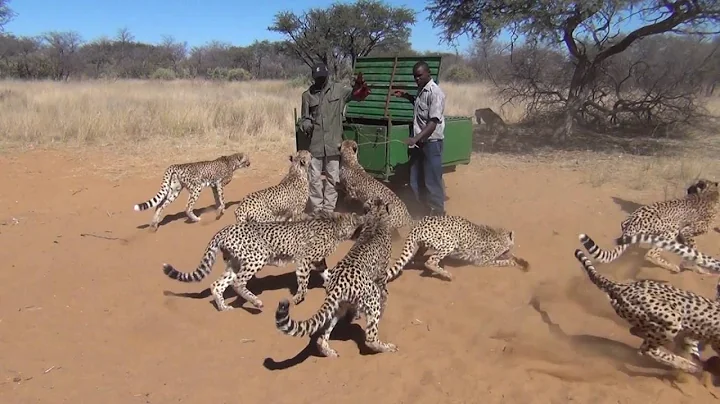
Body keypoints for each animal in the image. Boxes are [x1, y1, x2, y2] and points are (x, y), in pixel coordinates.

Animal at [161, 210, 366, 311]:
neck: (336, 226)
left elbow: (327, 273)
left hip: (235, 263)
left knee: (217, 284)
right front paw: (297, 298)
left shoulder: (317, 260)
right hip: (256, 258)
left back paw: (224, 307)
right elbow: (303, 282)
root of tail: (225, 229)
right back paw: (256, 302)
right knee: (238, 282)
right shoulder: (304, 260)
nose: (364, 219)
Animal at [275, 196, 397, 358]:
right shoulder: (381, 279)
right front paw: (383, 309)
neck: (376, 217)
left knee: (322, 336)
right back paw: (386, 347)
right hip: (371, 297)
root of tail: (338, 280)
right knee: (370, 338)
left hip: (338, 306)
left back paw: (329, 351)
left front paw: (355, 315)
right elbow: (385, 295)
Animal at [384, 214, 529, 282]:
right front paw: (514, 262)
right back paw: (447, 275)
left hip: (423, 245)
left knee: (417, 257)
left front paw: (522, 261)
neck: (498, 235)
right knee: (430, 261)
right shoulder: (482, 261)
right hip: (450, 240)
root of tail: (417, 225)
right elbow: (503, 261)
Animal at [579, 178, 720, 274]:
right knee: (650, 254)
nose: (688, 189)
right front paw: (699, 267)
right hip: (671, 229)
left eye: (694, 186)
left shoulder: (682, 235)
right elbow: (695, 251)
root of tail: (632, 221)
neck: (710, 194)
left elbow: (688, 251)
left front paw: (690, 264)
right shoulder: (685, 230)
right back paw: (672, 267)